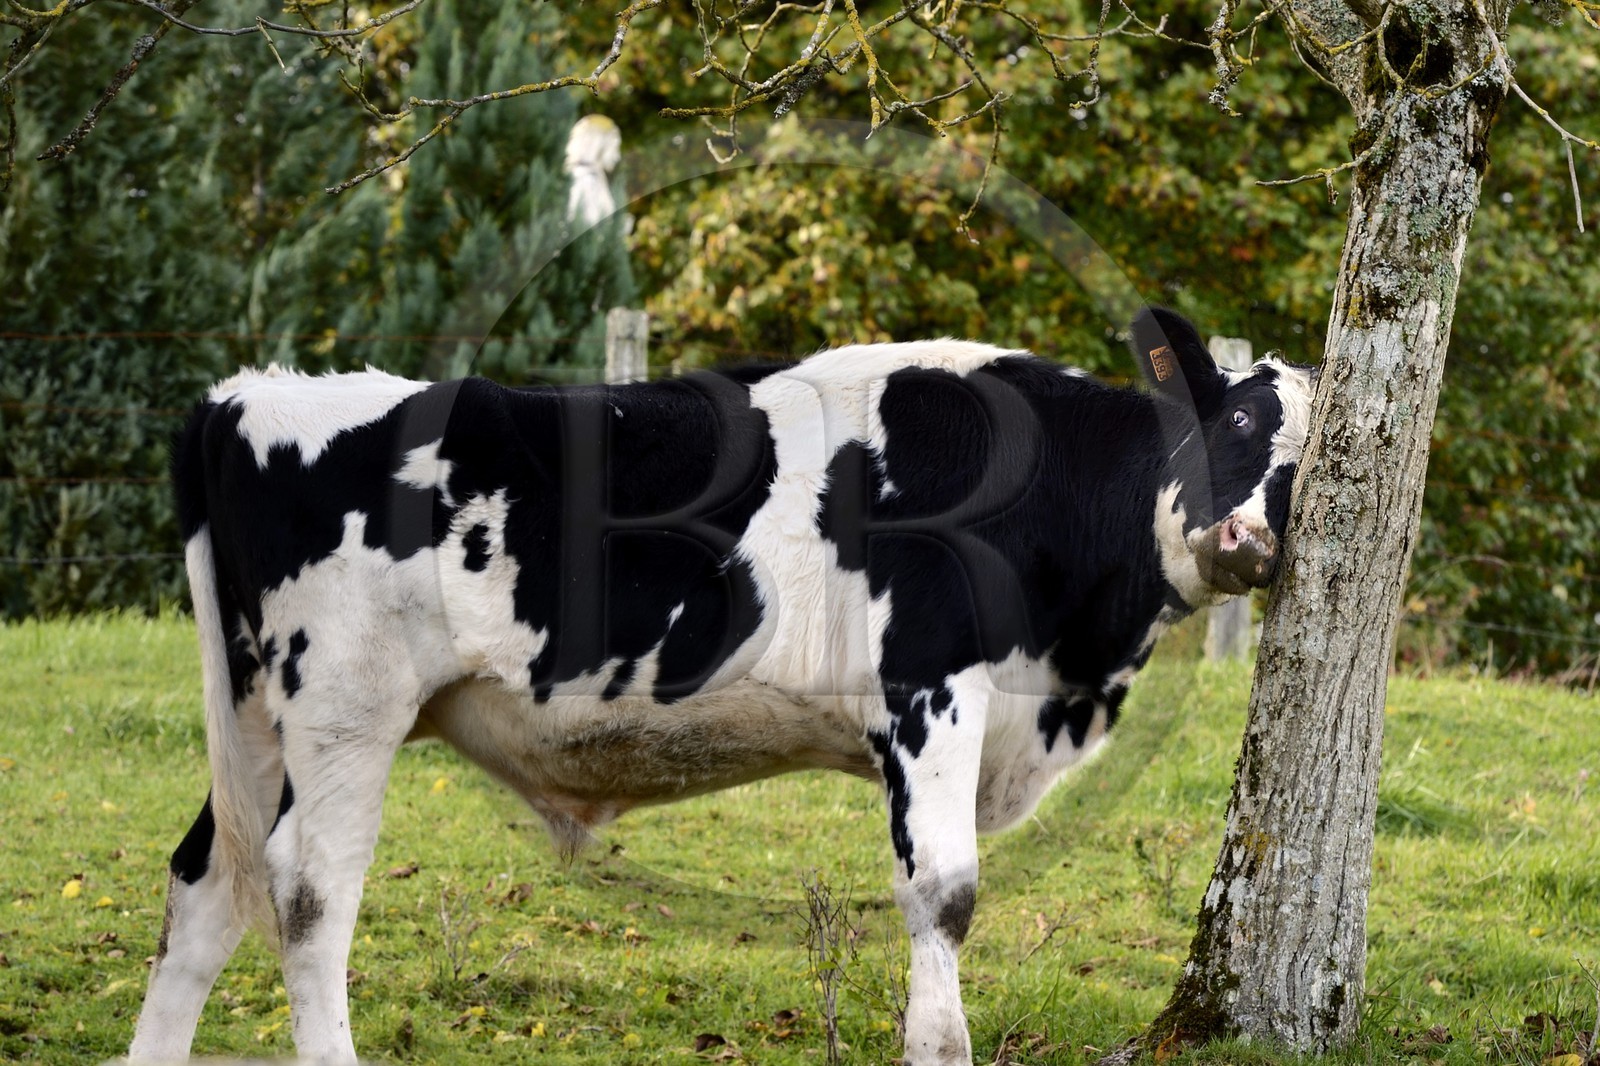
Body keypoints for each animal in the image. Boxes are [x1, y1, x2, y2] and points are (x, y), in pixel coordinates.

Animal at [128, 308, 1315, 1065]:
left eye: (1325, 453)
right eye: (1234, 424)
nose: (1249, 539)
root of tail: (246, 394)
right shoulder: (930, 685)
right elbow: (945, 893)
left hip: (261, 714)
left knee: (209, 881)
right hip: (344, 705)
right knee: (307, 890)